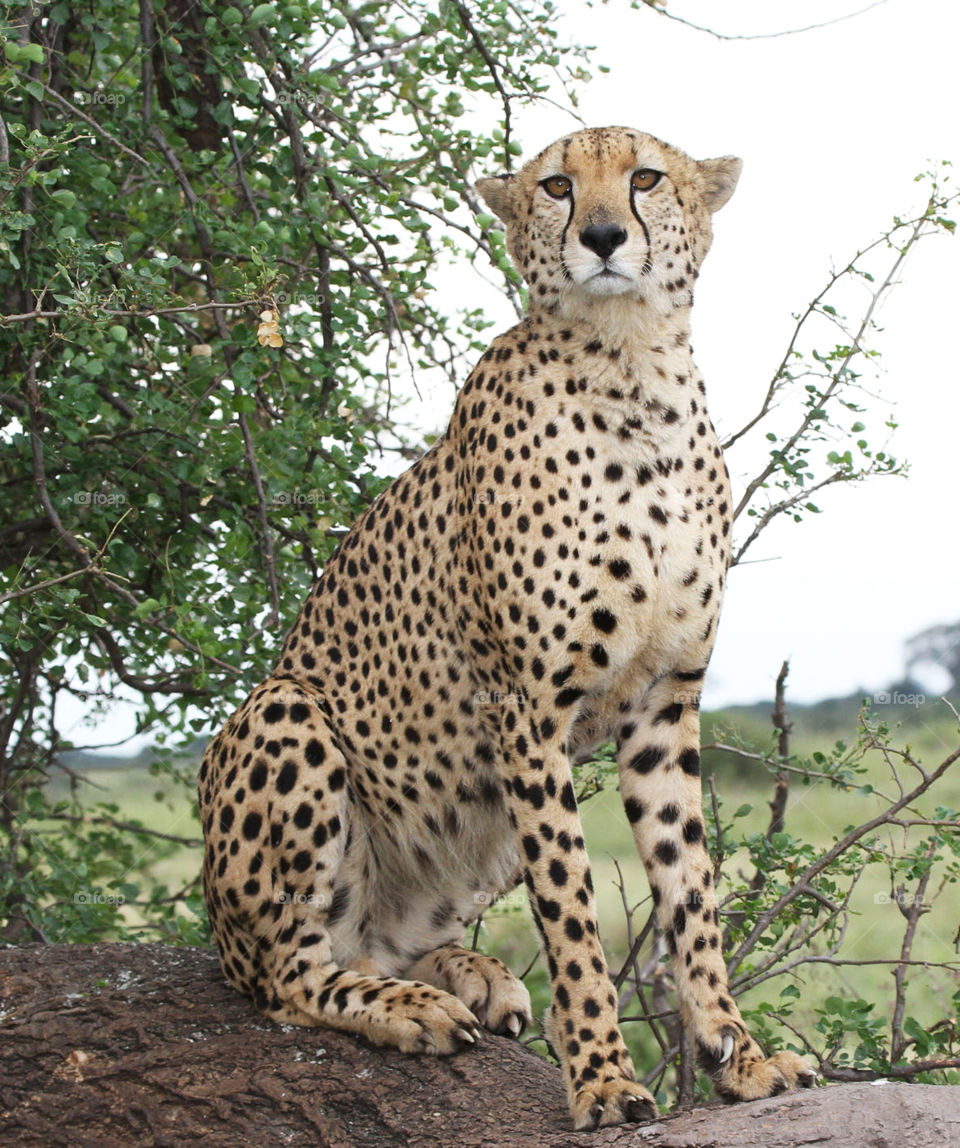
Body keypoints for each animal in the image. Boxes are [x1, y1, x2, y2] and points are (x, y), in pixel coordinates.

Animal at [198, 125, 813, 1129]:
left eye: (645, 176)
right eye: (557, 186)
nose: (602, 236)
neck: (633, 368)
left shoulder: (664, 701)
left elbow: (692, 891)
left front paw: (740, 1055)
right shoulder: (526, 708)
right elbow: (572, 913)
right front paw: (602, 1078)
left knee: (371, 939)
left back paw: (471, 974)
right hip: (286, 712)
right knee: (290, 974)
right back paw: (409, 1008)